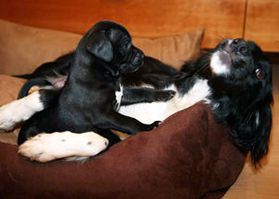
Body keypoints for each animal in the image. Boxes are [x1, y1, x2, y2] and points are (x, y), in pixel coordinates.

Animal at [0, 38, 272, 164]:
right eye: (238, 41)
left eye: (260, 72)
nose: (239, 43)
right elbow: (42, 96)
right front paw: (7, 116)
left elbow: (98, 140)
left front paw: (39, 146)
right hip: (57, 69)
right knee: (39, 84)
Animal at [16, 21, 168, 146]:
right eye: (126, 44)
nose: (142, 55)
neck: (102, 75)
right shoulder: (103, 114)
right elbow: (129, 121)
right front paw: (148, 127)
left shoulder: (120, 95)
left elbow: (140, 91)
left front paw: (164, 94)